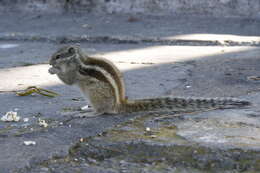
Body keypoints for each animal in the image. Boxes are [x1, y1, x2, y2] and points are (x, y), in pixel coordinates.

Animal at [48, 45, 250, 117]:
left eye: (58, 56)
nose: (49, 61)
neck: (77, 59)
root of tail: (119, 105)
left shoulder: (74, 73)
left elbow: (67, 79)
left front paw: (53, 70)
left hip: (95, 94)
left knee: (102, 111)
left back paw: (89, 113)